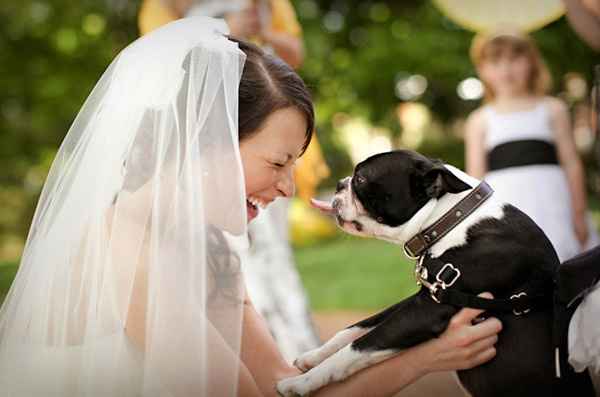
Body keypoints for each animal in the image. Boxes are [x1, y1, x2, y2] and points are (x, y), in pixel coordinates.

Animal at [278, 150, 596, 394]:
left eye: (361, 179)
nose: (338, 183)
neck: (452, 219)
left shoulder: (428, 309)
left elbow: (357, 347)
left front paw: (301, 383)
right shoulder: (428, 294)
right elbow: (357, 328)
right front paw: (313, 357)